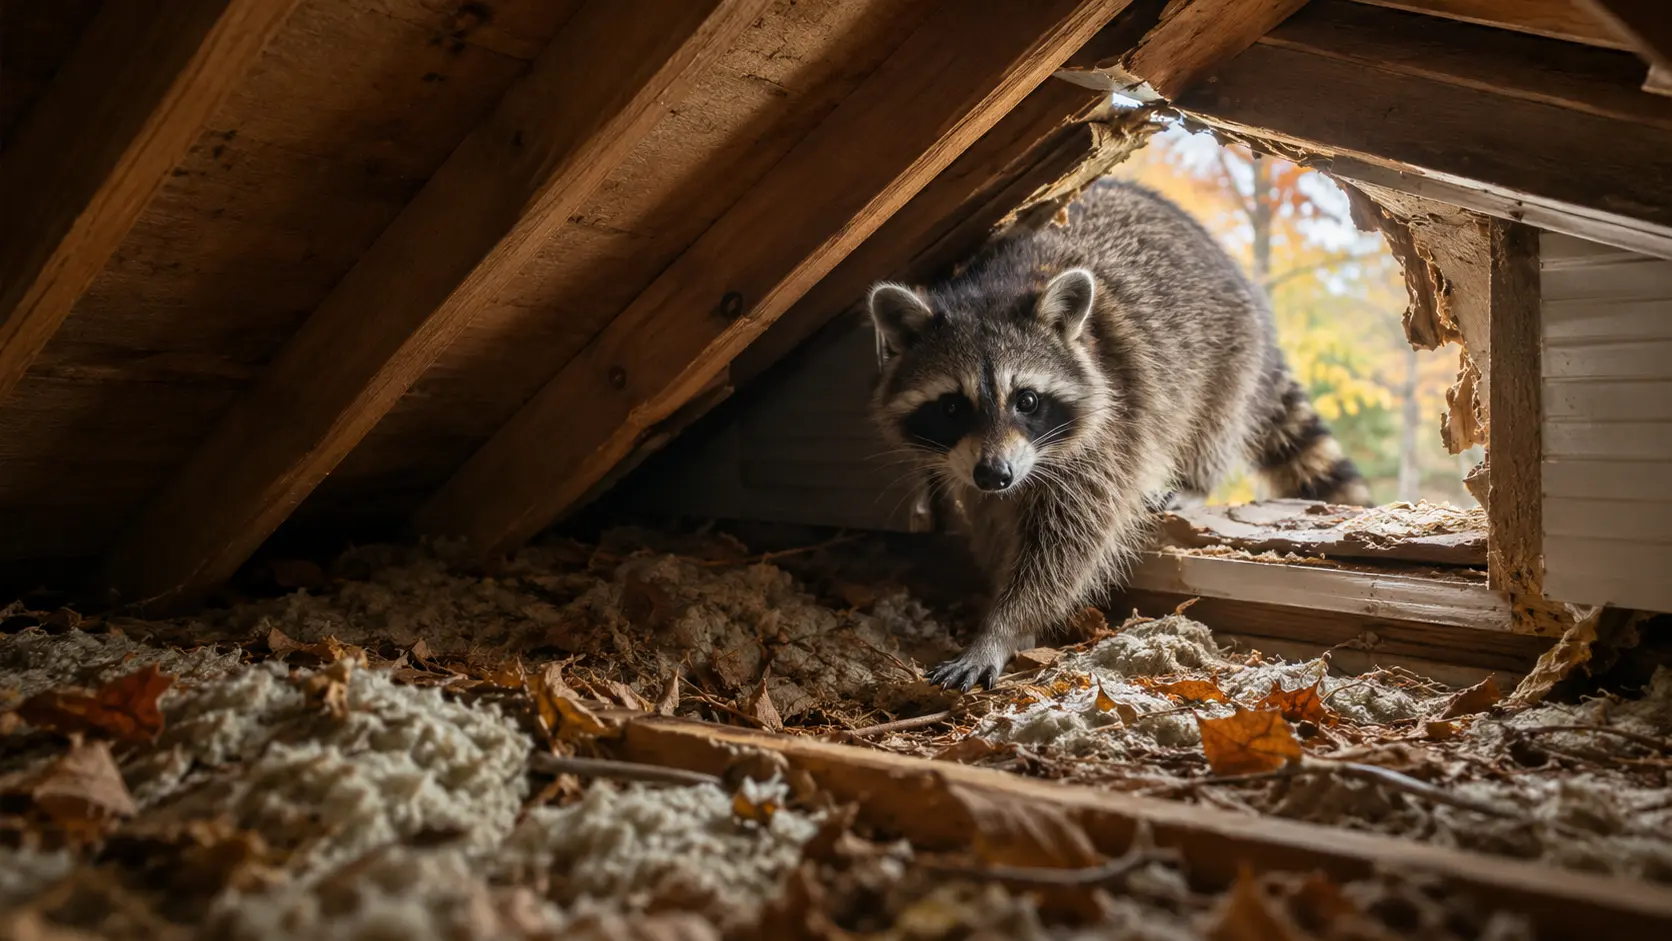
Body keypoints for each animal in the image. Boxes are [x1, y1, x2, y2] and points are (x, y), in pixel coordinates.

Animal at [868, 179, 1371, 691]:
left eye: (1026, 401)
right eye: (952, 407)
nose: (996, 474)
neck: (994, 287)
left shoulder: (1110, 432)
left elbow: (1068, 545)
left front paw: (1005, 626)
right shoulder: (975, 469)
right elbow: (994, 523)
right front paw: (1000, 593)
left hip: (1229, 349)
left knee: (1213, 418)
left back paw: (1194, 479)